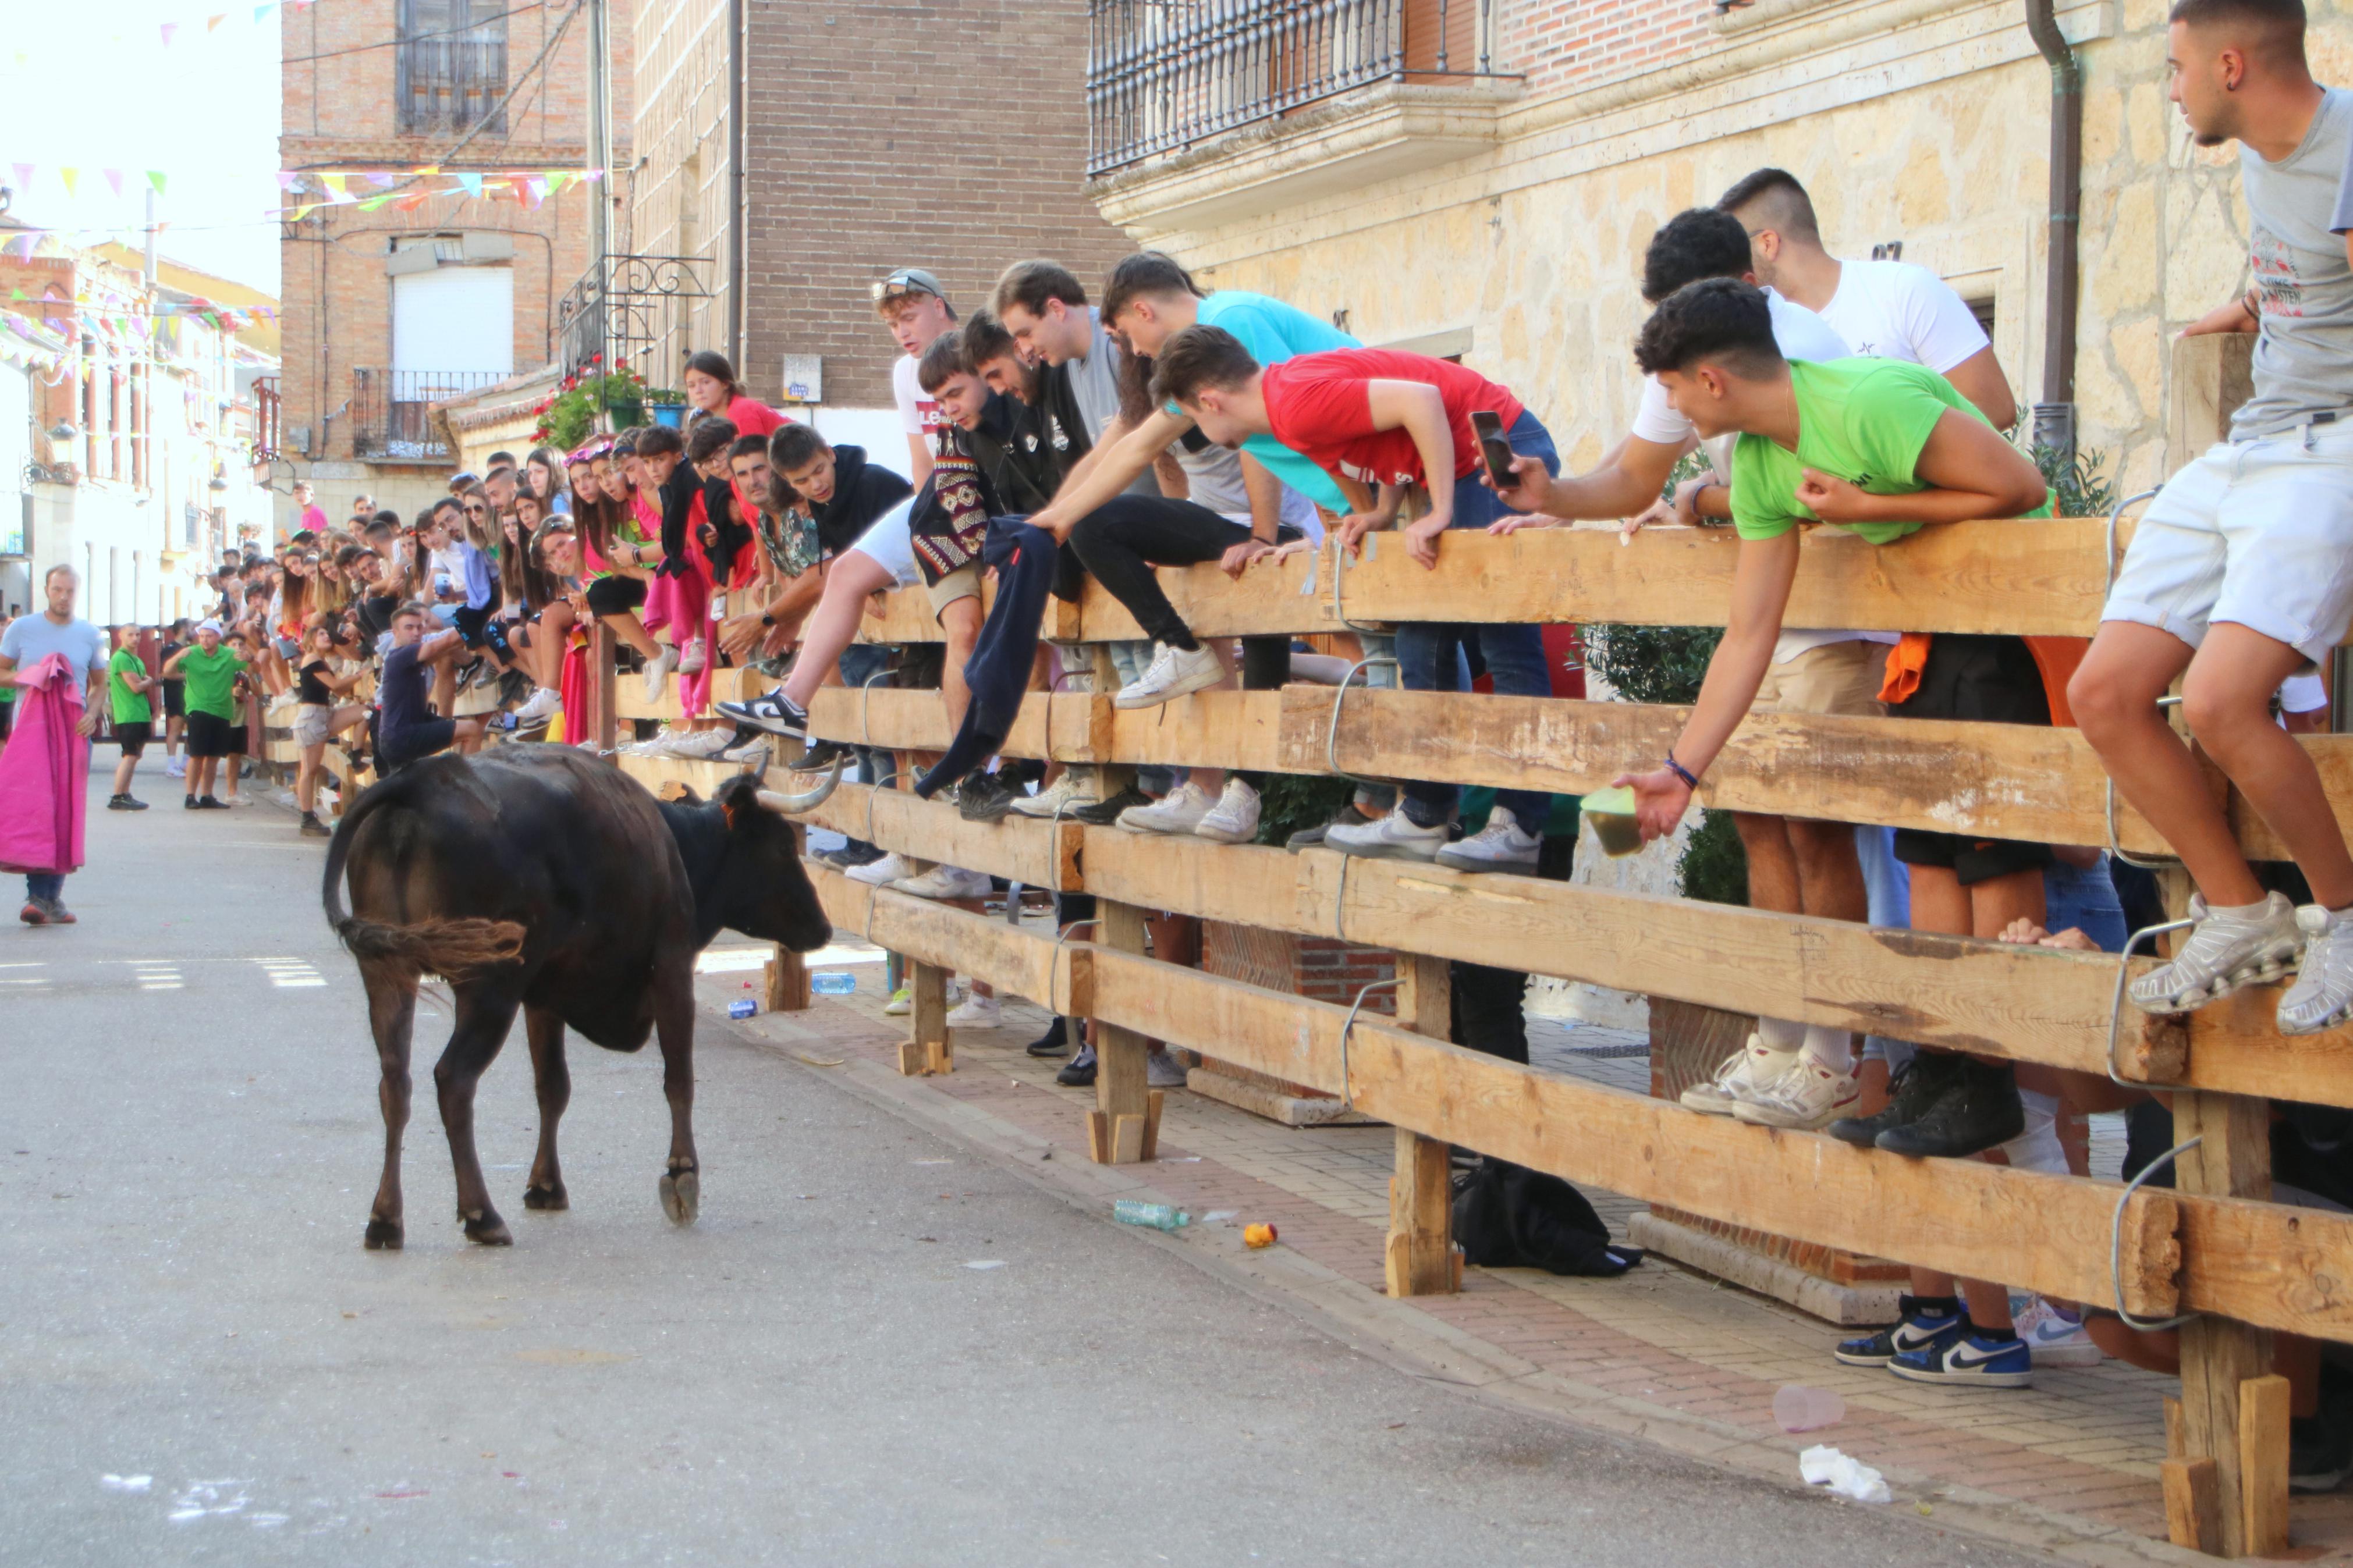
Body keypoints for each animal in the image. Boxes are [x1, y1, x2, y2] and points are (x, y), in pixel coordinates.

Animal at [317, 747, 842, 1250]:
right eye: (783, 845)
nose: (823, 926)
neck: (673, 847)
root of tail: (422, 779)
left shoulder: (543, 995)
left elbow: (553, 1087)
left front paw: (546, 1185)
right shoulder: (672, 966)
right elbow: (679, 1079)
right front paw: (682, 1174)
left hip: (388, 973)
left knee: (395, 1084)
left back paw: (385, 1219)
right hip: (490, 984)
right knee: (454, 1080)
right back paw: (481, 1215)